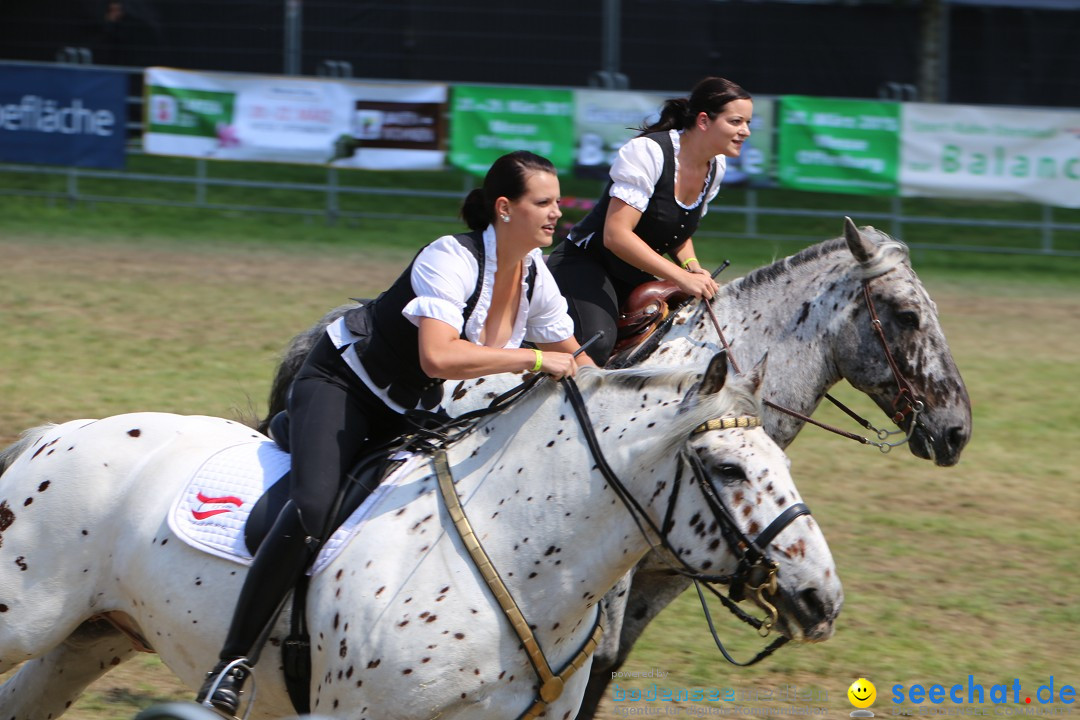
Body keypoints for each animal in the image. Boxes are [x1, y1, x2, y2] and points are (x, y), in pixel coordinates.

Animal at [0, 351, 842, 716]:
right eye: (728, 469)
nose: (821, 597)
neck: (514, 552)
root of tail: (54, 437)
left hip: (90, 639)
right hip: (26, 618)